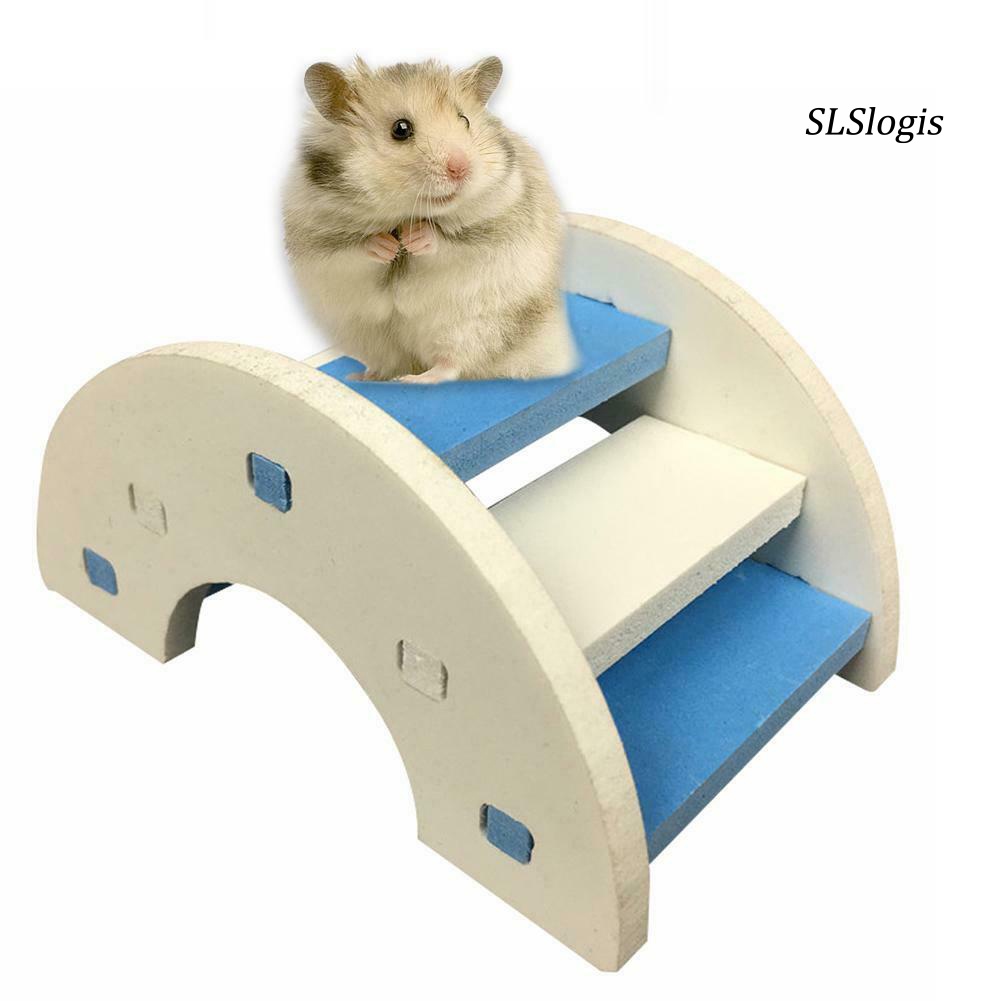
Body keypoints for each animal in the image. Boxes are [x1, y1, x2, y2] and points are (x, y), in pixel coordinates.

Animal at [282, 57, 577, 383]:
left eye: (464, 120)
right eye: (401, 129)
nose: (461, 168)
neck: (404, 214)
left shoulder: (494, 228)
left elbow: (447, 243)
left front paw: (414, 238)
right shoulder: (318, 242)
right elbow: (355, 250)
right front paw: (387, 246)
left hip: (472, 326)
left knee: (452, 365)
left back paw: (415, 379)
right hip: (368, 336)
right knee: (388, 364)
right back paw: (363, 377)